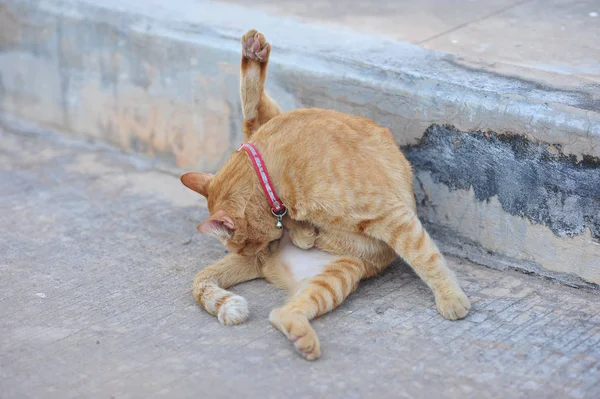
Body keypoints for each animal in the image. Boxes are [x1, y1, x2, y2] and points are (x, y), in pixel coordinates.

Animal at [180, 29, 472, 360]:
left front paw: (450, 297)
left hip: (338, 272)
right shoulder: (388, 216)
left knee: (254, 112)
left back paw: (253, 50)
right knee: (280, 314)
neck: (273, 179)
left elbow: (425, 256)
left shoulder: (391, 216)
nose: (257, 253)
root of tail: (265, 266)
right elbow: (425, 254)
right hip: (336, 278)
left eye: (244, 246)